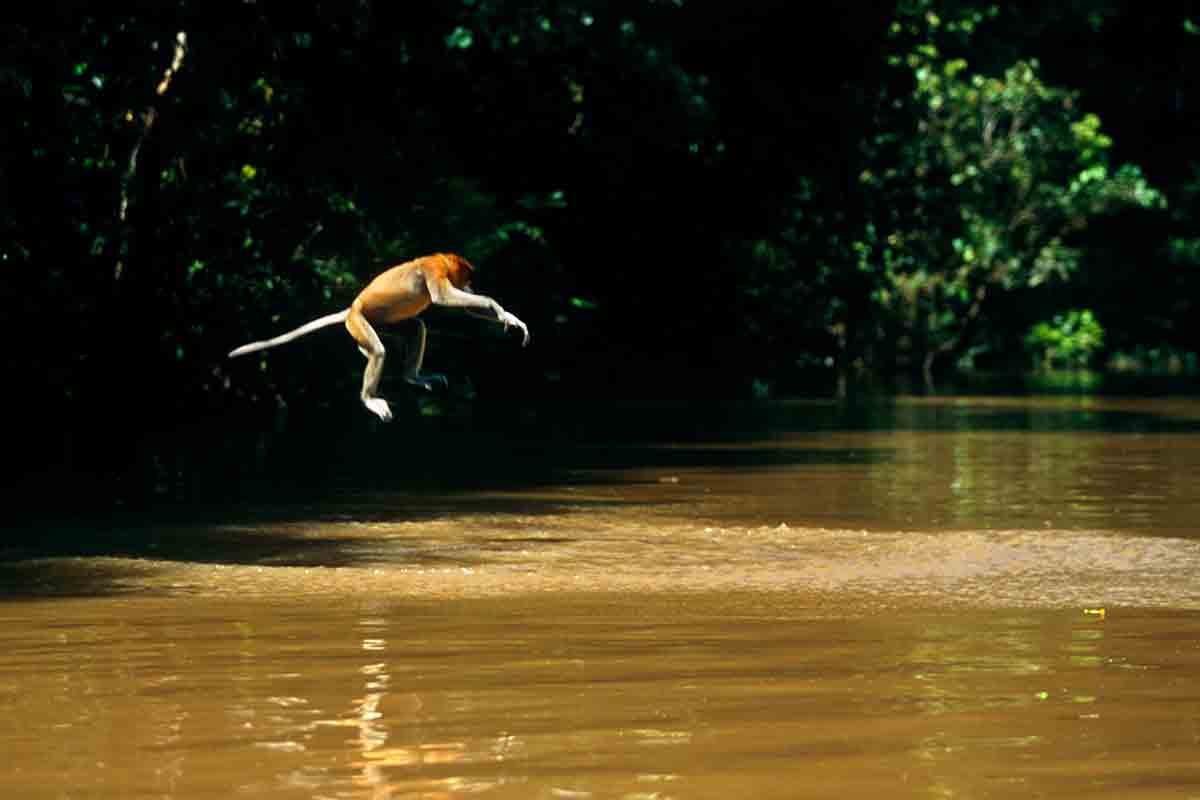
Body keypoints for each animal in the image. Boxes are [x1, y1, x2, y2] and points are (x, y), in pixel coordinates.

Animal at [228, 253, 529, 422]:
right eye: (467, 278)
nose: (470, 287)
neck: (442, 259)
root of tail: (351, 309)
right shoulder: (434, 270)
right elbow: (443, 296)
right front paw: (495, 306)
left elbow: (463, 307)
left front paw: (512, 318)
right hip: (360, 322)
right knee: (379, 352)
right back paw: (370, 399)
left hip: (382, 321)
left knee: (416, 327)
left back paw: (413, 377)